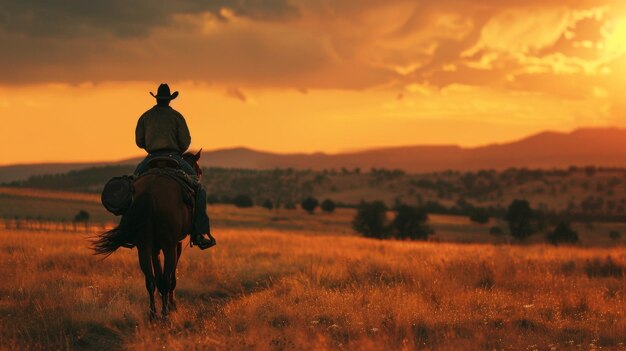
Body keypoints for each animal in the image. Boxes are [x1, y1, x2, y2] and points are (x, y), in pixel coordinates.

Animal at [91, 150, 202, 320]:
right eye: (199, 171)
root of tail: (150, 190)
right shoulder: (176, 244)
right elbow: (171, 278)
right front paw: (172, 306)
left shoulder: (154, 248)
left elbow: (157, 276)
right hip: (168, 246)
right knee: (165, 280)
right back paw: (164, 314)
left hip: (143, 247)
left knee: (150, 281)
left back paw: (153, 315)